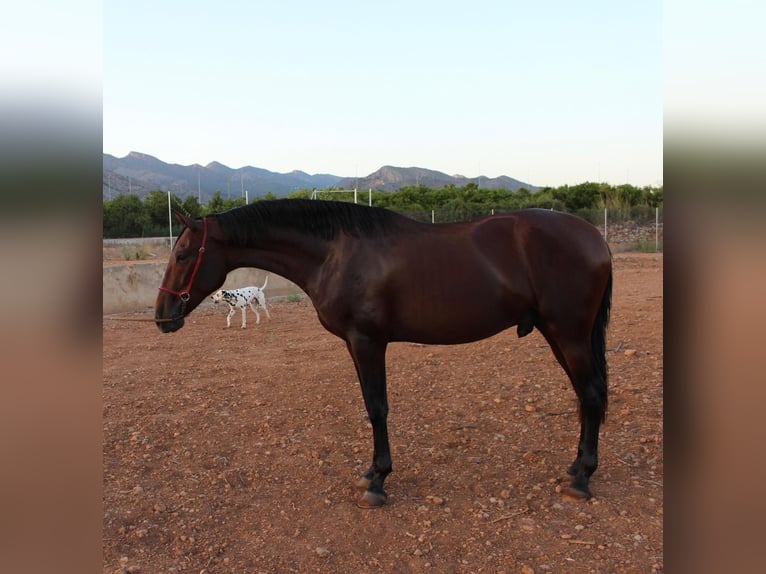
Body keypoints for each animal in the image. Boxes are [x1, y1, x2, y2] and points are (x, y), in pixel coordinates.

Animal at [156, 201, 612, 508]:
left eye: (182, 255)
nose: (163, 316)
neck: (335, 253)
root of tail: (595, 238)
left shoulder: (368, 342)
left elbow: (377, 408)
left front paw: (378, 481)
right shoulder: (356, 344)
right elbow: (370, 406)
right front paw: (372, 473)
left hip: (570, 334)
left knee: (590, 395)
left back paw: (582, 479)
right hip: (557, 334)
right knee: (583, 397)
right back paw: (575, 467)